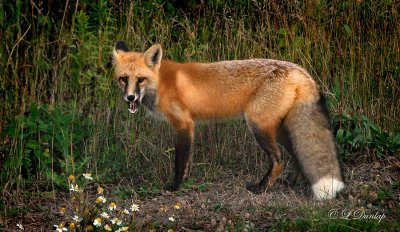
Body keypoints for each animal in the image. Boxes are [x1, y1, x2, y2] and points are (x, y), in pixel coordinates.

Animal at [111, 41, 344, 199]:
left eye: (141, 79)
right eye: (123, 79)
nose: (130, 98)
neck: (160, 83)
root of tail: (300, 70)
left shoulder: (183, 124)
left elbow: (180, 161)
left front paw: (175, 187)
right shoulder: (190, 126)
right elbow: (188, 161)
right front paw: (185, 183)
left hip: (258, 125)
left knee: (278, 160)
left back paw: (262, 188)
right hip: (278, 128)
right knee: (296, 153)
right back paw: (290, 183)